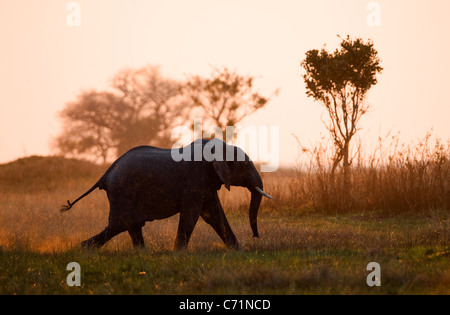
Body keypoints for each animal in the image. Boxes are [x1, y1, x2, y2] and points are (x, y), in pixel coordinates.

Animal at [59, 139, 270, 251]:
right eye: (245, 165)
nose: (255, 237)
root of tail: (106, 173)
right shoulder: (196, 178)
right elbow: (192, 214)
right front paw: (178, 253)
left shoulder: (206, 182)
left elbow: (214, 214)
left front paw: (238, 251)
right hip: (124, 192)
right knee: (118, 225)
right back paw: (84, 248)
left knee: (132, 225)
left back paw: (141, 253)